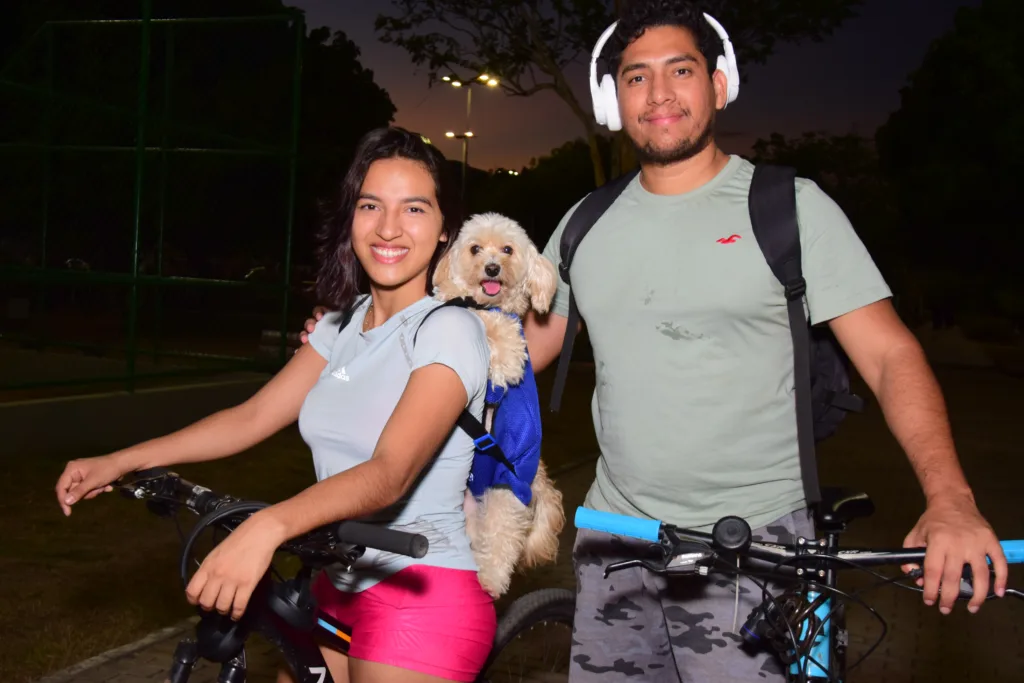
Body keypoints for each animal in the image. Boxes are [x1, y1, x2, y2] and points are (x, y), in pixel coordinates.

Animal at [432, 211, 569, 598]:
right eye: (475, 249)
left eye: (507, 249)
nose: (492, 268)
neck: (485, 304)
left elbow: (501, 336)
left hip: (507, 487)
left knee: (502, 538)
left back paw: (489, 579)